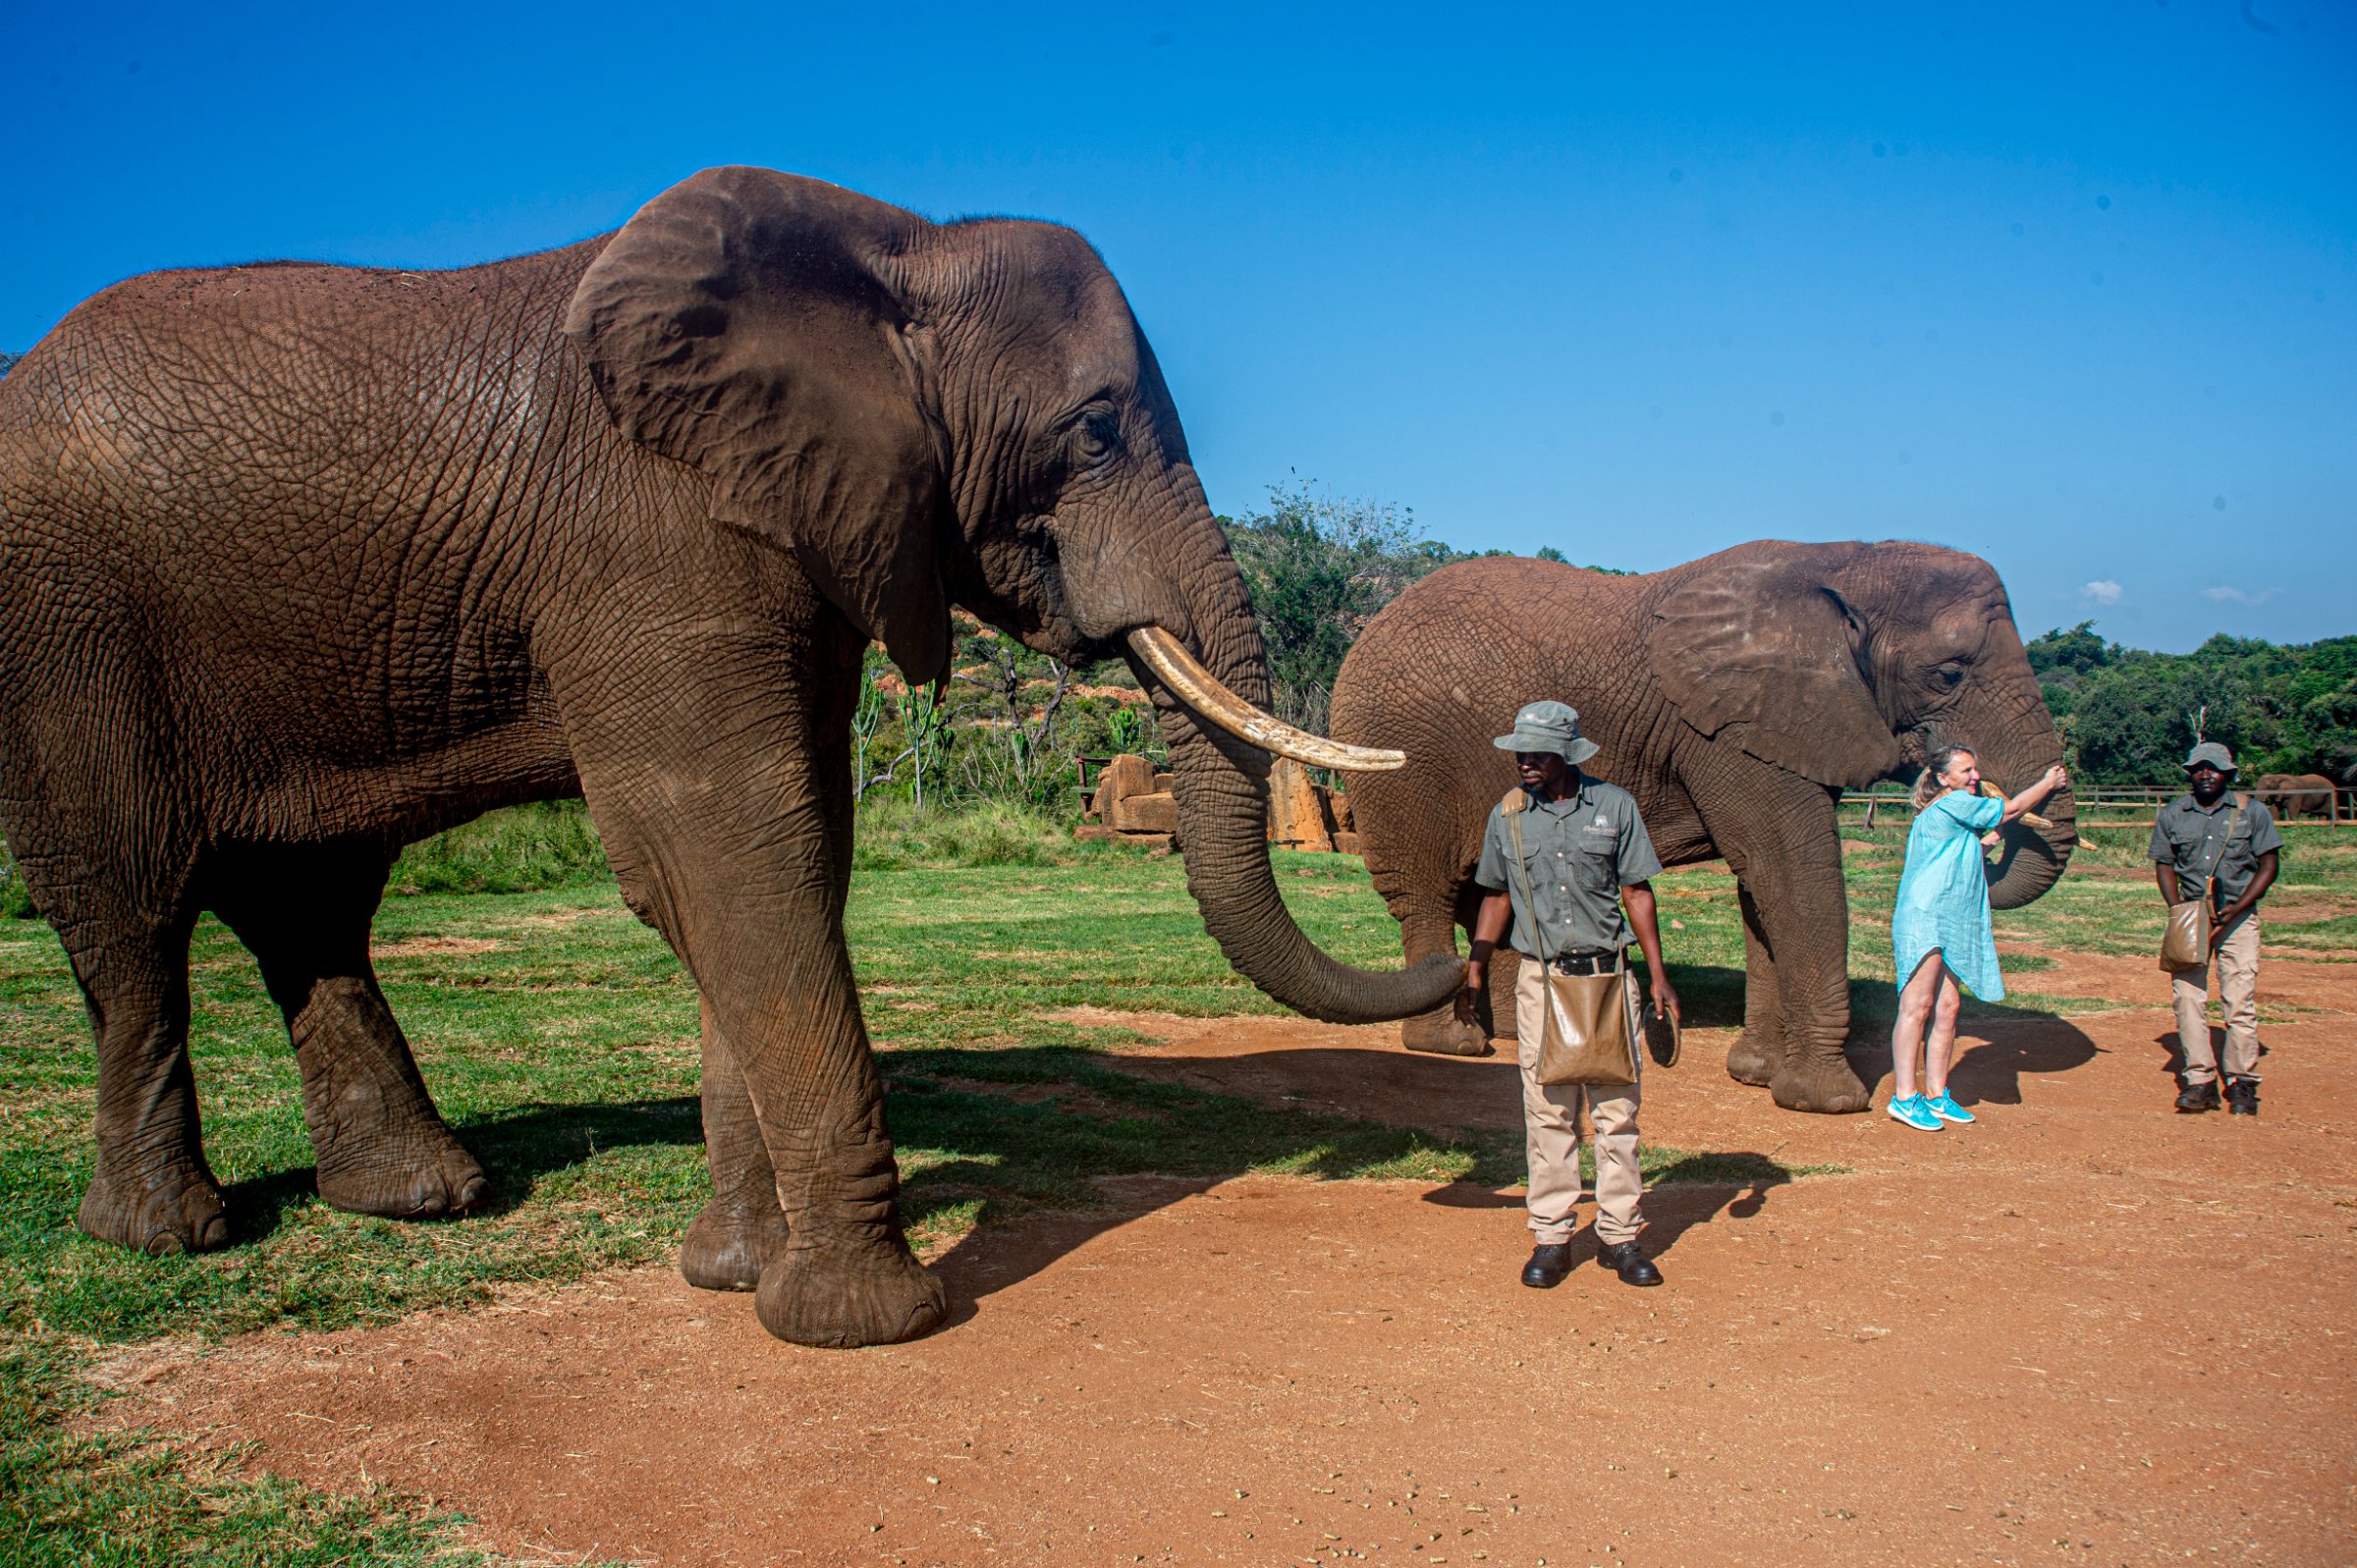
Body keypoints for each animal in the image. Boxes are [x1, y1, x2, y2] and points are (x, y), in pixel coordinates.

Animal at [0, 167, 1461, 1347]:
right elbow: (723, 846)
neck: (894, 248)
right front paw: (867, 1324)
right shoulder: (649, 535)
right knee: (132, 911)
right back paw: (167, 1234)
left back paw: (420, 1200)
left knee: (313, 905)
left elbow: (786, 844)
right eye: (1096, 428)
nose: (1454, 956)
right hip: (68, 635)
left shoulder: (793, 530)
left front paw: (733, 1277)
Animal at [1327, 541, 2078, 1113]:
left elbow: (1762, 885)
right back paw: (1454, 1044)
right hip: (1402, 758)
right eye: (1948, 673)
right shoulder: (1729, 731)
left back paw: (1514, 1036)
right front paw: (1825, 1101)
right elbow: (1790, 872)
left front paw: (1754, 1073)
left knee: (1489, 892)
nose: (1977, 793)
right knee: (1425, 890)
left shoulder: (1774, 727)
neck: (1846, 558)